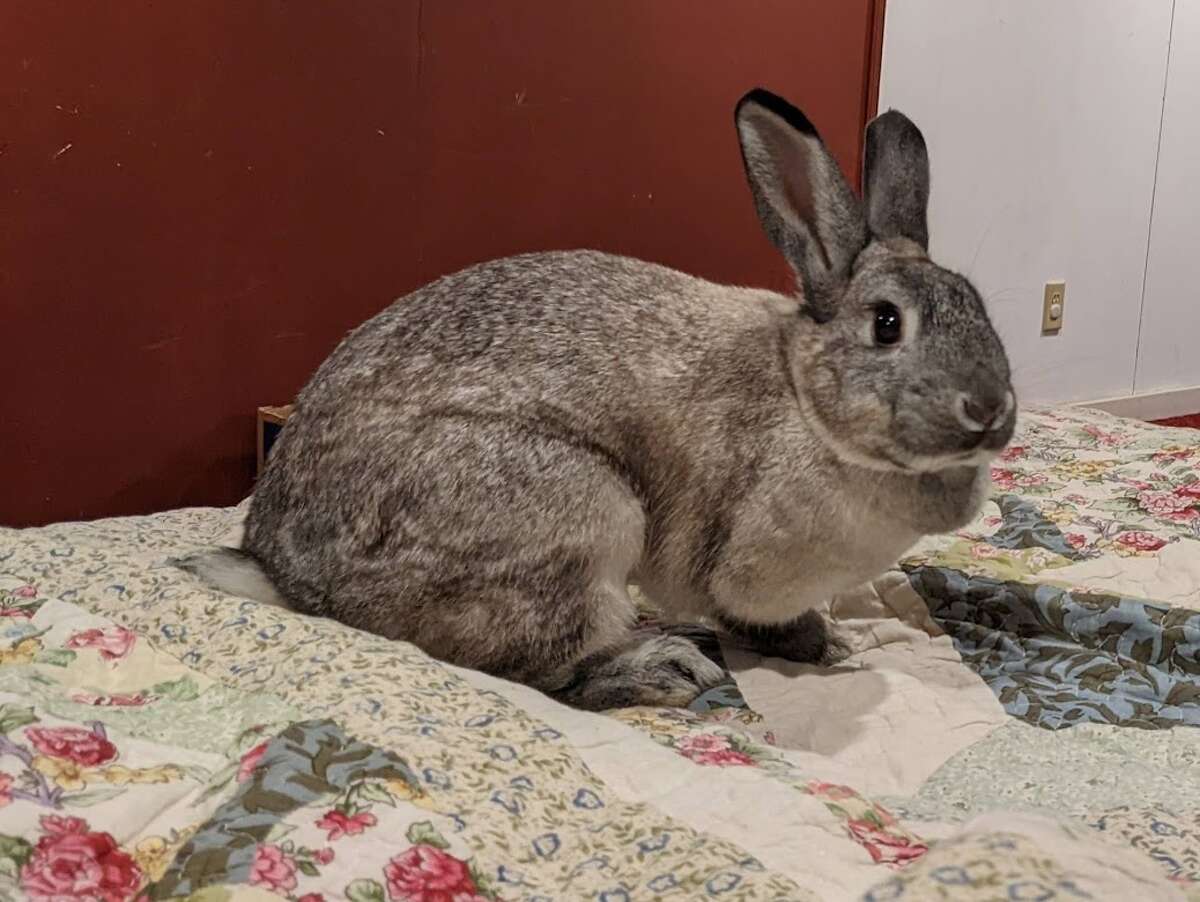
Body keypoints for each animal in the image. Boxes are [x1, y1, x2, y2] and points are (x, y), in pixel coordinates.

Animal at [184, 91, 1012, 710]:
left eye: (981, 309)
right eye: (886, 324)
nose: (991, 410)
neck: (805, 397)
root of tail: (293, 581)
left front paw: (827, 640)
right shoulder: (735, 554)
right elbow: (738, 607)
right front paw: (818, 643)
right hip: (580, 517)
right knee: (539, 671)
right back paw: (663, 669)